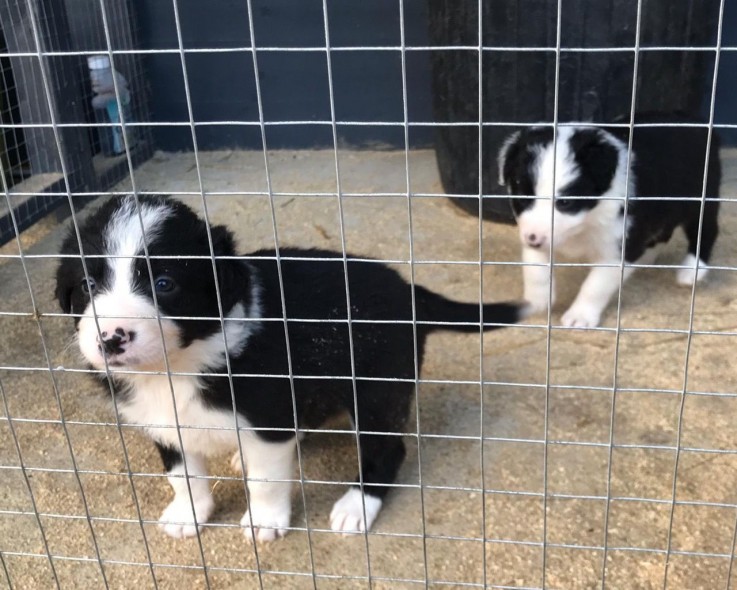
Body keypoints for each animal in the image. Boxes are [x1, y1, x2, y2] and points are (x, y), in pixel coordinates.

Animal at [57, 198, 528, 544]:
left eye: (164, 284)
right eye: (87, 285)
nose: (111, 338)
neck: (178, 363)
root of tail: (408, 291)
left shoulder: (268, 416)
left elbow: (266, 480)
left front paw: (264, 522)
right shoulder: (163, 420)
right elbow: (183, 475)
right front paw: (189, 514)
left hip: (376, 390)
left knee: (387, 449)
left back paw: (356, 506)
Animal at [498, 115, 720, 328]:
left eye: (565, 202)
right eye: (522, 198)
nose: (533, 239)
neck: (587, 219)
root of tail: (699, 122)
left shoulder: (618, 246)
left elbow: (596, 285)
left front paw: (580, 315)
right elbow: (535, 268)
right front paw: (536, 300)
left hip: (701, 200)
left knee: (706, 230)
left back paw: (691, 270)